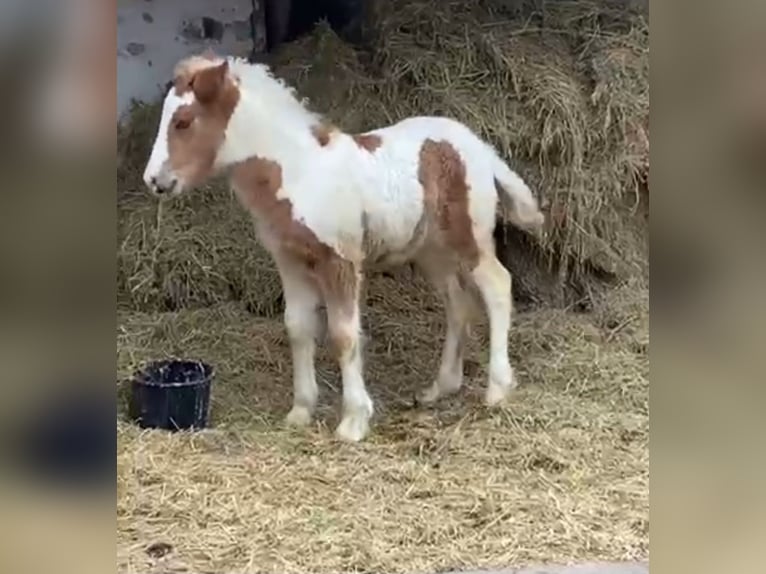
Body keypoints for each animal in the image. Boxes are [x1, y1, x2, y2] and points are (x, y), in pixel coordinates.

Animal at [142, 53, 545, 442]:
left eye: (183, 122)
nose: (154, 180)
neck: (300, 172)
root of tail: (480, 147)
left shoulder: (339, 261)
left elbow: (344, 334)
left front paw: (353, 421)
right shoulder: (289, 261)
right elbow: (298, 327)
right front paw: (300, 411)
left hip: (469, 236)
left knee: (497, 285)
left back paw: (497, 389)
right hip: (432, 250)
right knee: (457, 303)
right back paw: (440, 388)